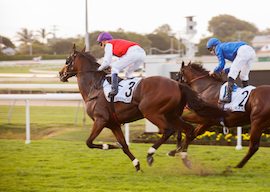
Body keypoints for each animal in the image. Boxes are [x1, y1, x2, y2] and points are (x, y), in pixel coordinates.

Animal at [58, 44, 228, 171]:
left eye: (67, 60)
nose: (60, 74)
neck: (94, 87)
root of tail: (177, 84)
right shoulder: (113, 123)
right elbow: (124, 145)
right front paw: (136, 164)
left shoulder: (100, 120)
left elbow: (89, 142)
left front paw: (111, 145)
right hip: (172, 114)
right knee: (188, 130)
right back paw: (183, 158)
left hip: (151, 112)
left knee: (168, 130)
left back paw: (151, 154)